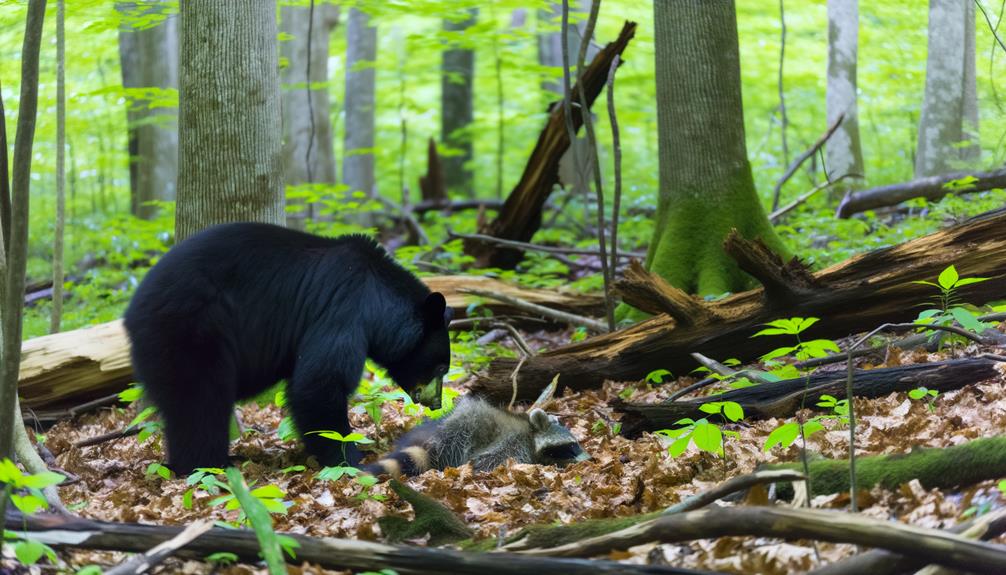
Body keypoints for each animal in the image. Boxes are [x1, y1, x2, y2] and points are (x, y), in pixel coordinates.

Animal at [124, 222, 452, 474]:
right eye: (441, 367)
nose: (436, 403)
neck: (378, 297)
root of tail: (131, 312)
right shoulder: (344, 308)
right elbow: (319, 382)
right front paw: (349, 459)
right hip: (191, 330)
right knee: (200, 400)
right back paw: (208, 465)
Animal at [366, 396, 587, 476]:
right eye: (571, 446)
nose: (590, 459)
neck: (531, 433)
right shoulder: (513, 442)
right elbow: (488, 462)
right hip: (466, 431)